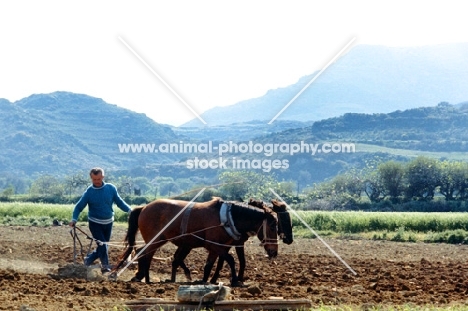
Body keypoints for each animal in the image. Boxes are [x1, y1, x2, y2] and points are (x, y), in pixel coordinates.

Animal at [113, 199, 278, 286]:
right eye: (272, 226)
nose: (274, 252)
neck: (227, 218)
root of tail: (144, 207)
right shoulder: (216, 246)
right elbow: (230, 260)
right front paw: (235, 280)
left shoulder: (217, 248)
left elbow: (209, 266)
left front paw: (204, 281)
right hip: (156, 239)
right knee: (144, 253)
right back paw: (145, 278)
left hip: (160, 240)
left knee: (146, 253)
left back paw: (145, 277)